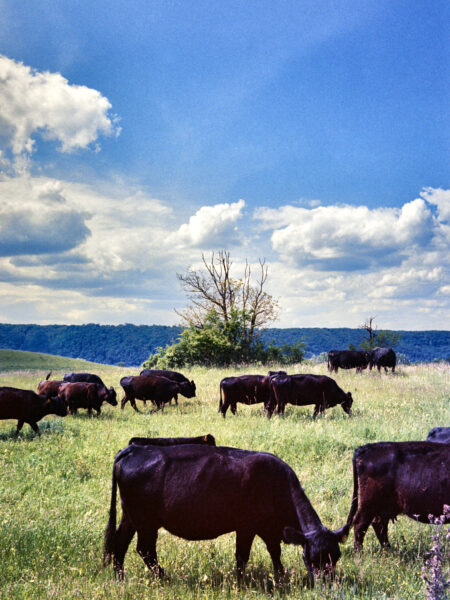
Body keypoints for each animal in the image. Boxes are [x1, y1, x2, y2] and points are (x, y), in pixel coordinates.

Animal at [103, 436, 350, 580]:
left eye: (336, 557)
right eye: (312, 559)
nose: (327, 584)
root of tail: (135, 449)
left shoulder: (269, 528)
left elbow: (274, 552)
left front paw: (280, 577)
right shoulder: (247, 526)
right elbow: (242, 556)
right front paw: (241, 582)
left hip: (130, 516)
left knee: (119, 542)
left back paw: (119, 577)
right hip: (146, 522)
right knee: (145, 550)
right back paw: (164, 578)